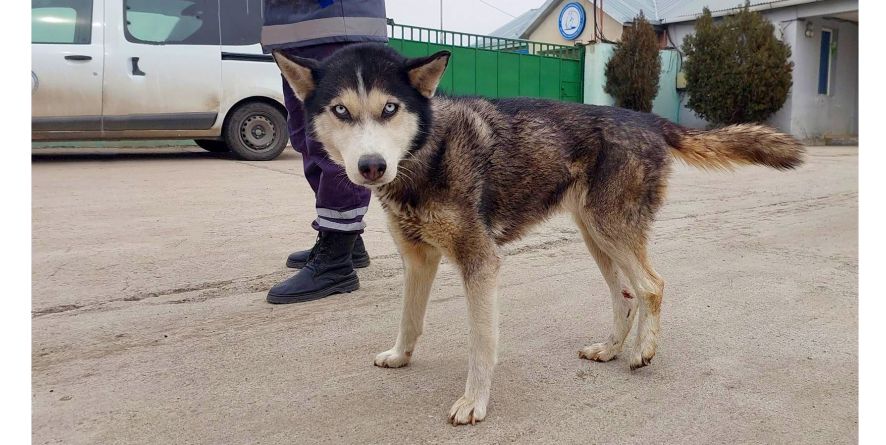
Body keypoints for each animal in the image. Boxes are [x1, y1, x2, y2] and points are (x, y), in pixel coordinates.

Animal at [274, 43, 808, 424]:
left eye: (389, 109)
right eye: (341, 111)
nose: (371, 166)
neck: (427, 151)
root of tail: (649, 118)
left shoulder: (481, 263)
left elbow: (482, 343)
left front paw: (475, 402)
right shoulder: (418, 259)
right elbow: (410, 319)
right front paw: (401, 356)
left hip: (612, 229)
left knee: (652, 286)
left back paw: (643, 351)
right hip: (597, 236)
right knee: (626, 294)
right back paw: (611, 349)